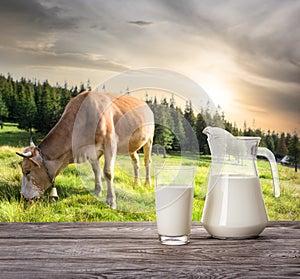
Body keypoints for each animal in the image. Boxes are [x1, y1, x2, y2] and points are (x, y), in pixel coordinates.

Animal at [16, 92, 154, 210]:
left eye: (27, 171)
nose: (23, 196)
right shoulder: (91, 151)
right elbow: (96, 170)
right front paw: (97, 191)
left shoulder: (110, 143)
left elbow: (108, 172)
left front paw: (111, 201)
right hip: (132, 145)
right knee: (135, 162)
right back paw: (136, 184)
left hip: (149, 139)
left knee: (147, 162)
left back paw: (147, 184)